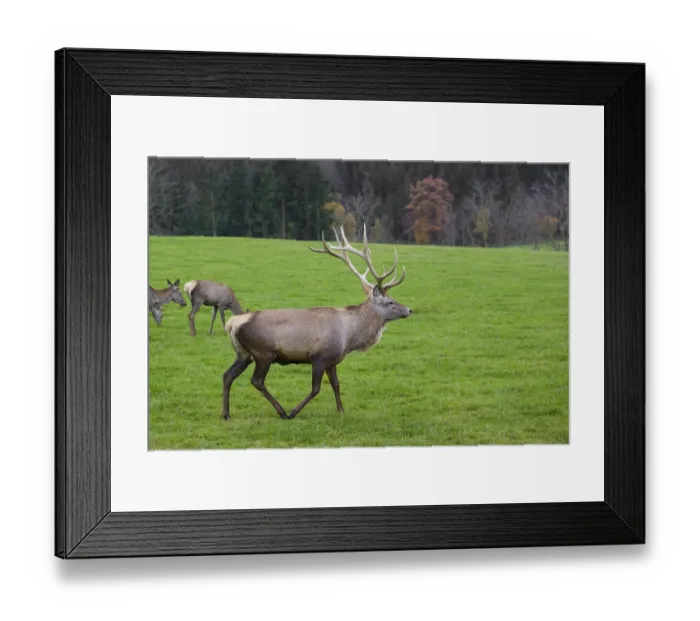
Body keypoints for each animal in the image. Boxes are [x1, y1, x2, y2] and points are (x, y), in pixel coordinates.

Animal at [221, 223, 411, 421]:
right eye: (390, 302)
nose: (409, 310)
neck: (349, 337)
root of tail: (232, 323)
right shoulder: (319, 356)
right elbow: (315, 389)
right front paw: (294, 411)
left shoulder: (332, 360)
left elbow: (336, 384)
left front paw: (341, 410)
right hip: (263, 353)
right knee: (256, 380)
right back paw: (282, 411)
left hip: (243, 354)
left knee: (227, 375)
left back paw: (226, 414)